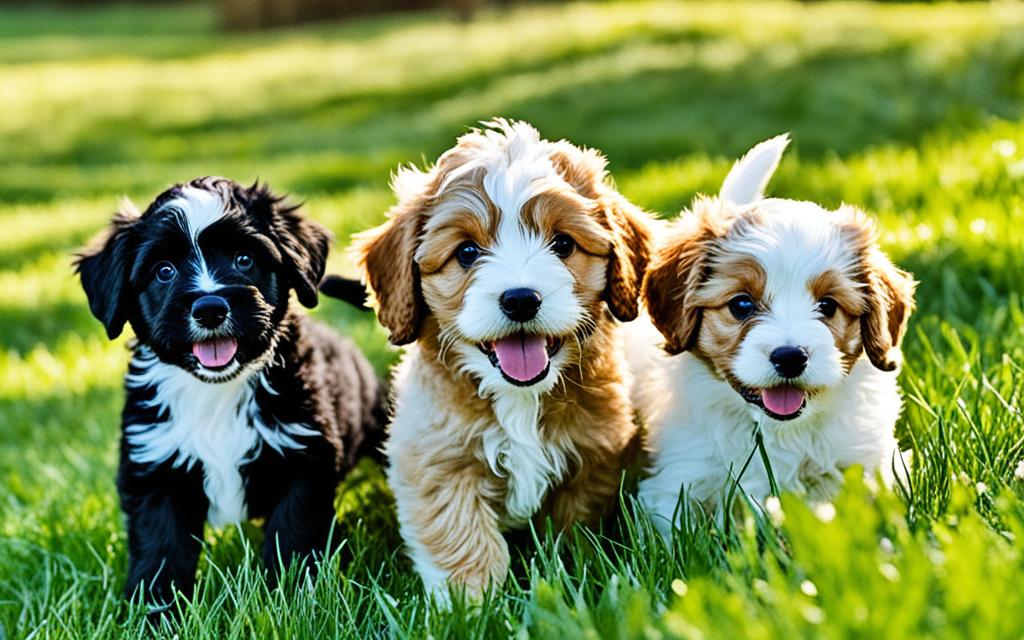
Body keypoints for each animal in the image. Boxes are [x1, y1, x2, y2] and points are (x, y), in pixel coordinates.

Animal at [75, 175, 385, 610]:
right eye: (164, 271)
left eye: (243, 259)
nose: (209, 307)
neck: (217, 391)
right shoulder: (155, 466)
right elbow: (162, 545)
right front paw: (156, 608)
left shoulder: (305, 456)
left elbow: (294, 531)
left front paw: (294, 596)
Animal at [337, 119, 655, 598]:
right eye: (467, 252)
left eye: (562, 244)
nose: (521, 298)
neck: (519, 397)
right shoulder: (439, 460)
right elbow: (462, 536)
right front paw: (471, 602)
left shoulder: (592, 456)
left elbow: (573, 529)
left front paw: (571, 571)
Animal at [634, 135, 917, 532]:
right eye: (741, 305)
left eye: (828, 306)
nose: (791, 357)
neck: (777, 430)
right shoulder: (678, 481)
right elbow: (674, 534)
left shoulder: (870, 463)